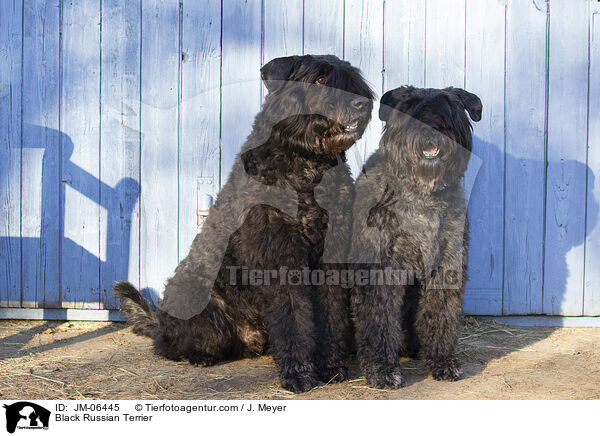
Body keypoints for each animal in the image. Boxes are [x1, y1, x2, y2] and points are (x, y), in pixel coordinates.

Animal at [113, 54, 372, 392]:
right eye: (319, 79)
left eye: (352, 78)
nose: (362, 104)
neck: (303, 167)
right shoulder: (280, 258)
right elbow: (294, 318)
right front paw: (300, 373)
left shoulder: (331, 254)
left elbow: (331, 315)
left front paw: (332, 366)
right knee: (168, 342)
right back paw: (198, 355)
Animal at [352, 85, 482, 388]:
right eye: (410, 106)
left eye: (448, 106)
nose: (430, 128)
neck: (423, 194)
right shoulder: (381, 268)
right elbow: (379, 319)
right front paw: (383, 368)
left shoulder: (447, 264)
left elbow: (442, 313)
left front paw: (443, 360)